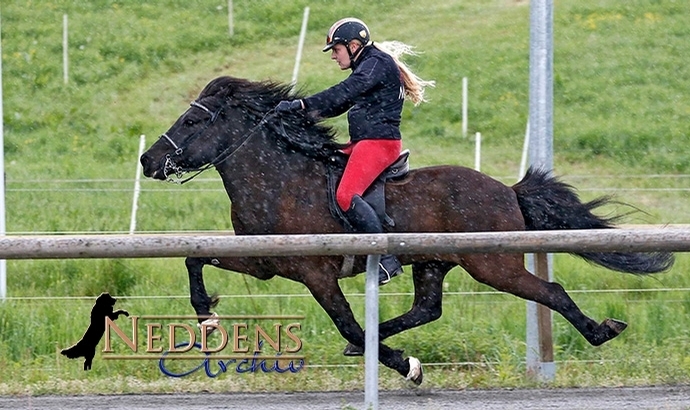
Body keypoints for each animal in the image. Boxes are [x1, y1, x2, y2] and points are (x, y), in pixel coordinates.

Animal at [140, 76, 672, 384]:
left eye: (192, 122)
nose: (148, 160)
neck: (280, 180)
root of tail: (507, 190)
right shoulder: (266, 261)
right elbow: (193, 257)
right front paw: (207, 317)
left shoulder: (316, 273)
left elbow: (344, 320)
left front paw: (405, 366)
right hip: (434, 262)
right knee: (427, 309)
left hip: (492, 264)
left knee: (551, 291)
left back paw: (601, 330)